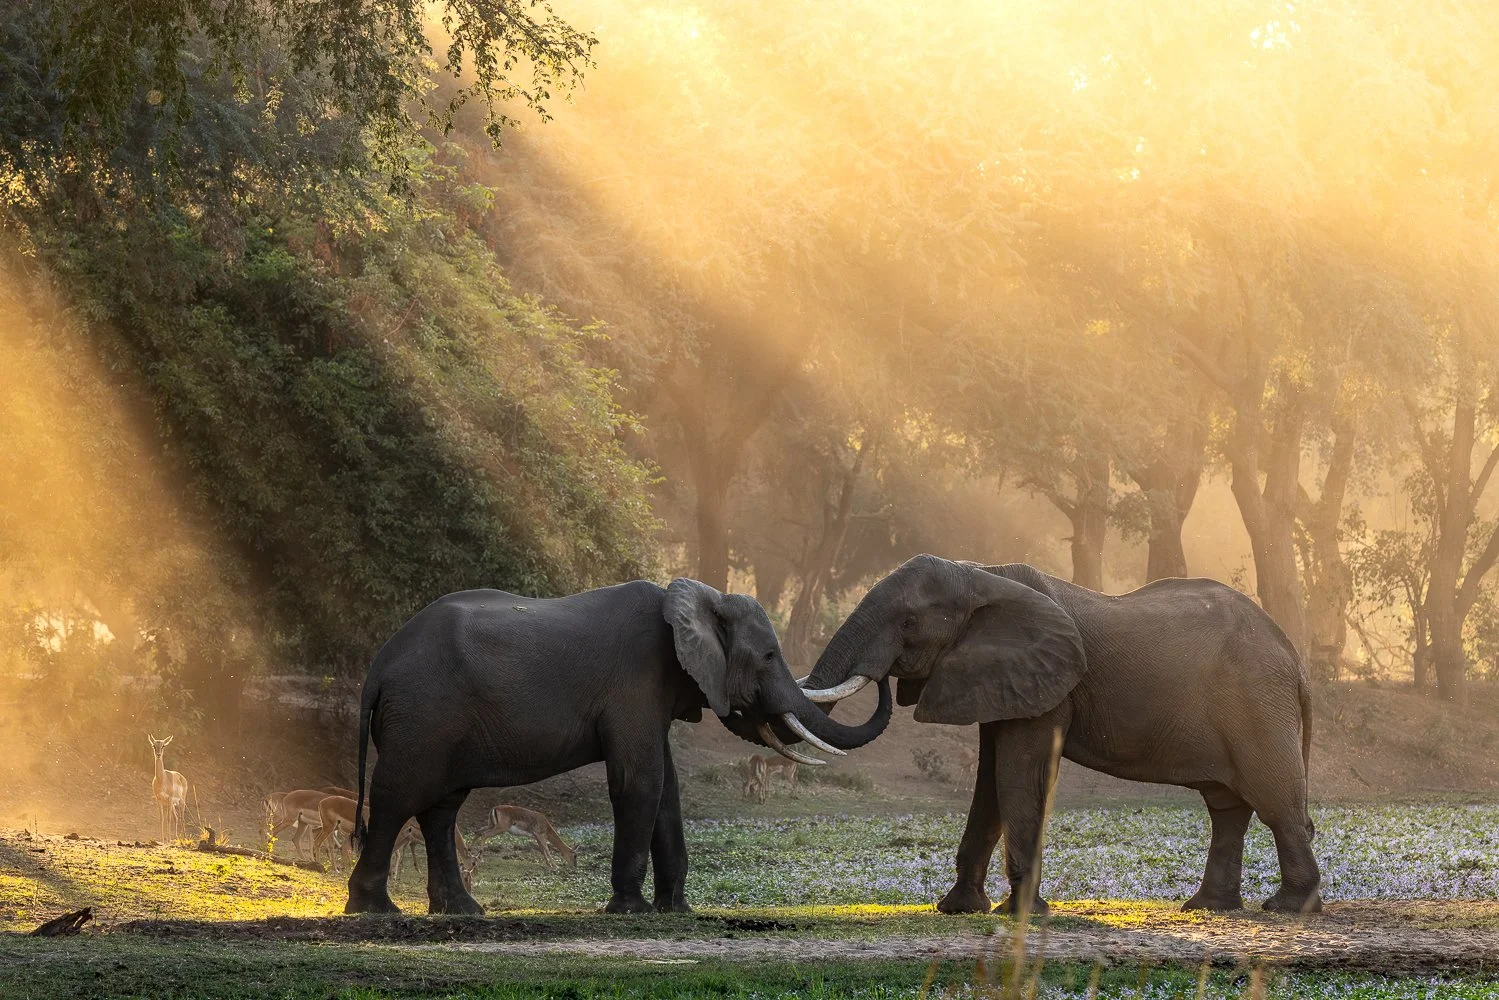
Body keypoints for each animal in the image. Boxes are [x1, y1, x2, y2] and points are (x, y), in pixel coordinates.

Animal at [344, 578, 891, 915]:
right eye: (770, 656)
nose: (886, 676)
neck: (695, 595)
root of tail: (377, 669)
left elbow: (667, 790)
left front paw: (676, 911)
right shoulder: (634, 684)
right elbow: (639, 782)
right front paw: (633, 910)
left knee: (441, 807)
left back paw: (462, 911)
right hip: (422, 716)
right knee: (398, 796)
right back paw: (375, 911)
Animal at [798, 554, 1320, 916]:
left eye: (908, 623)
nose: (883, 682)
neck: (980, 573)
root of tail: (1295, 659)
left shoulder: (1048, 687)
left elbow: (1017, 774)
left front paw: (1020, 914)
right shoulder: (1001, 679)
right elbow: (990, 781)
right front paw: (960, 910)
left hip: (1257, 703)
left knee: (1273, 802)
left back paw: (1288, 908)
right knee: (1227, 808)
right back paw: (1208, 907)